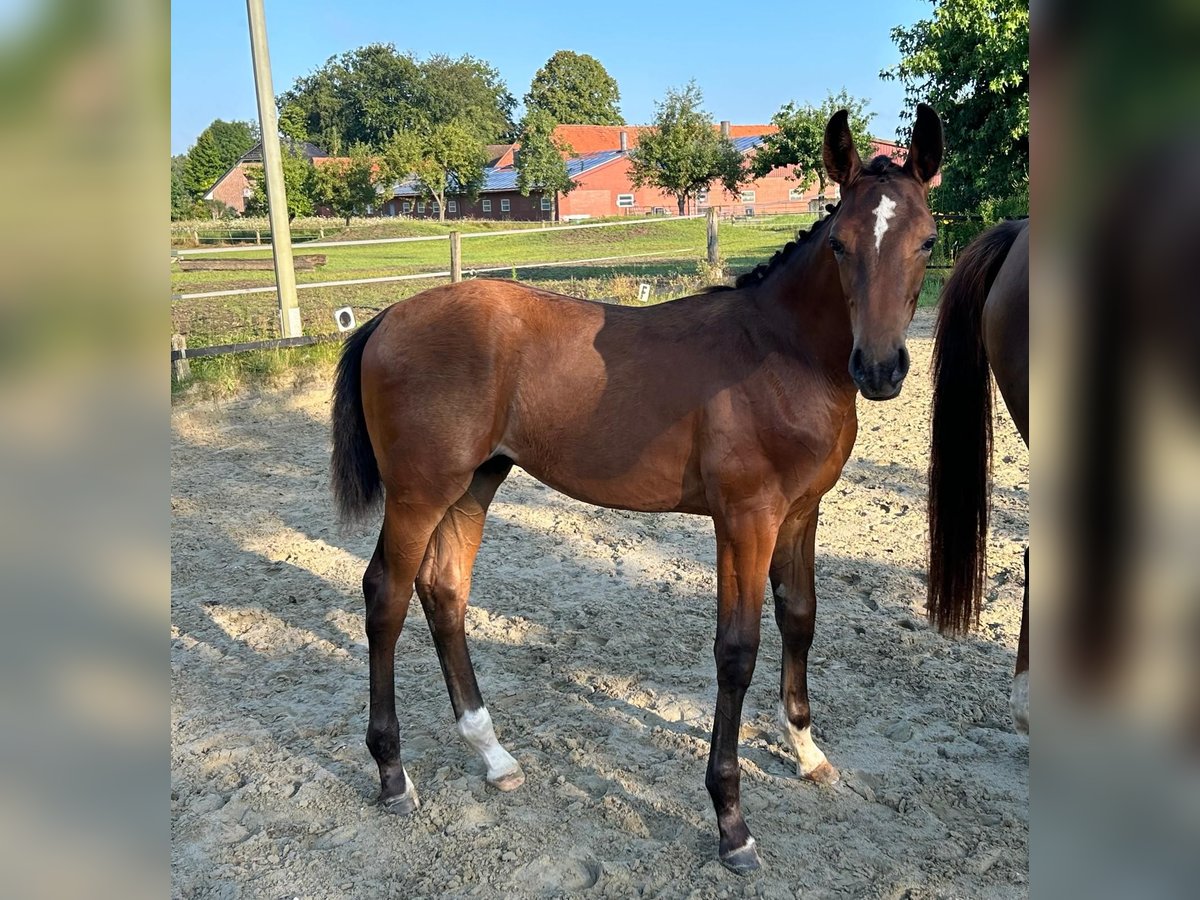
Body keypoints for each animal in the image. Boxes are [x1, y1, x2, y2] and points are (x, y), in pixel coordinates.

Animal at [331, 105, 945, 873]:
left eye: (928, 240)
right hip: (420, 491)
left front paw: (807, 752)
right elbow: (736, 650)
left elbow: (800, 618)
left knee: (443, 592)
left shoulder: (803, 512)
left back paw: (494, 755)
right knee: (385, 596)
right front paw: (731, 824)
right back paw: (392, 773)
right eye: (839, 243)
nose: (881, 369)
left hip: (475, 482)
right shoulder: (745, 518)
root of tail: (388, 318)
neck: (782, 352)